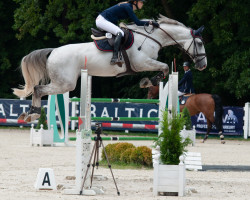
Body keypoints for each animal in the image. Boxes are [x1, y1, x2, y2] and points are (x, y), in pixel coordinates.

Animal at [12, 14, 206, 122]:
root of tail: (53, 51)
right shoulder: (141, 63)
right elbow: (164, 68)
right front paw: (147, 82)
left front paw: (147, 82)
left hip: (62, 83)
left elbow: (164, 69)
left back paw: (29, 114)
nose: (203, 65)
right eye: (199, 43)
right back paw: (33, 115)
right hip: (65, 84)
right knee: (38, 89)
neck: (153, 37)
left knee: (38, 89)